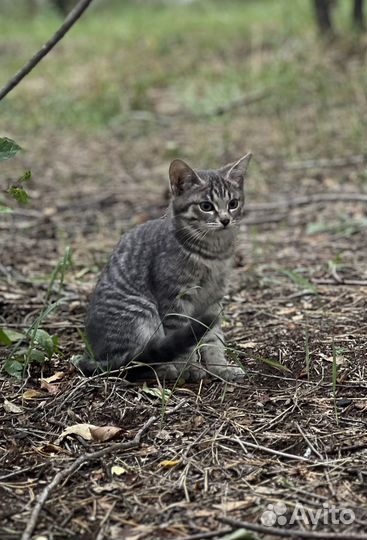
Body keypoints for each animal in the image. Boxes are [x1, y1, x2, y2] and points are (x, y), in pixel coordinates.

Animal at [80, 152, 253, 380]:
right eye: (206, 206)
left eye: (233, 203)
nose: (225, 220)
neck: (213, 254)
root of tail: (95, 355)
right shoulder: (175, 300)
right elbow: (184, 343)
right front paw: (190, 369)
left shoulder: (213, 300)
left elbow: (214, 339)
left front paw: (221, 367)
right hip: (142, 311)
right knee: (133, 363)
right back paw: (165, 369)